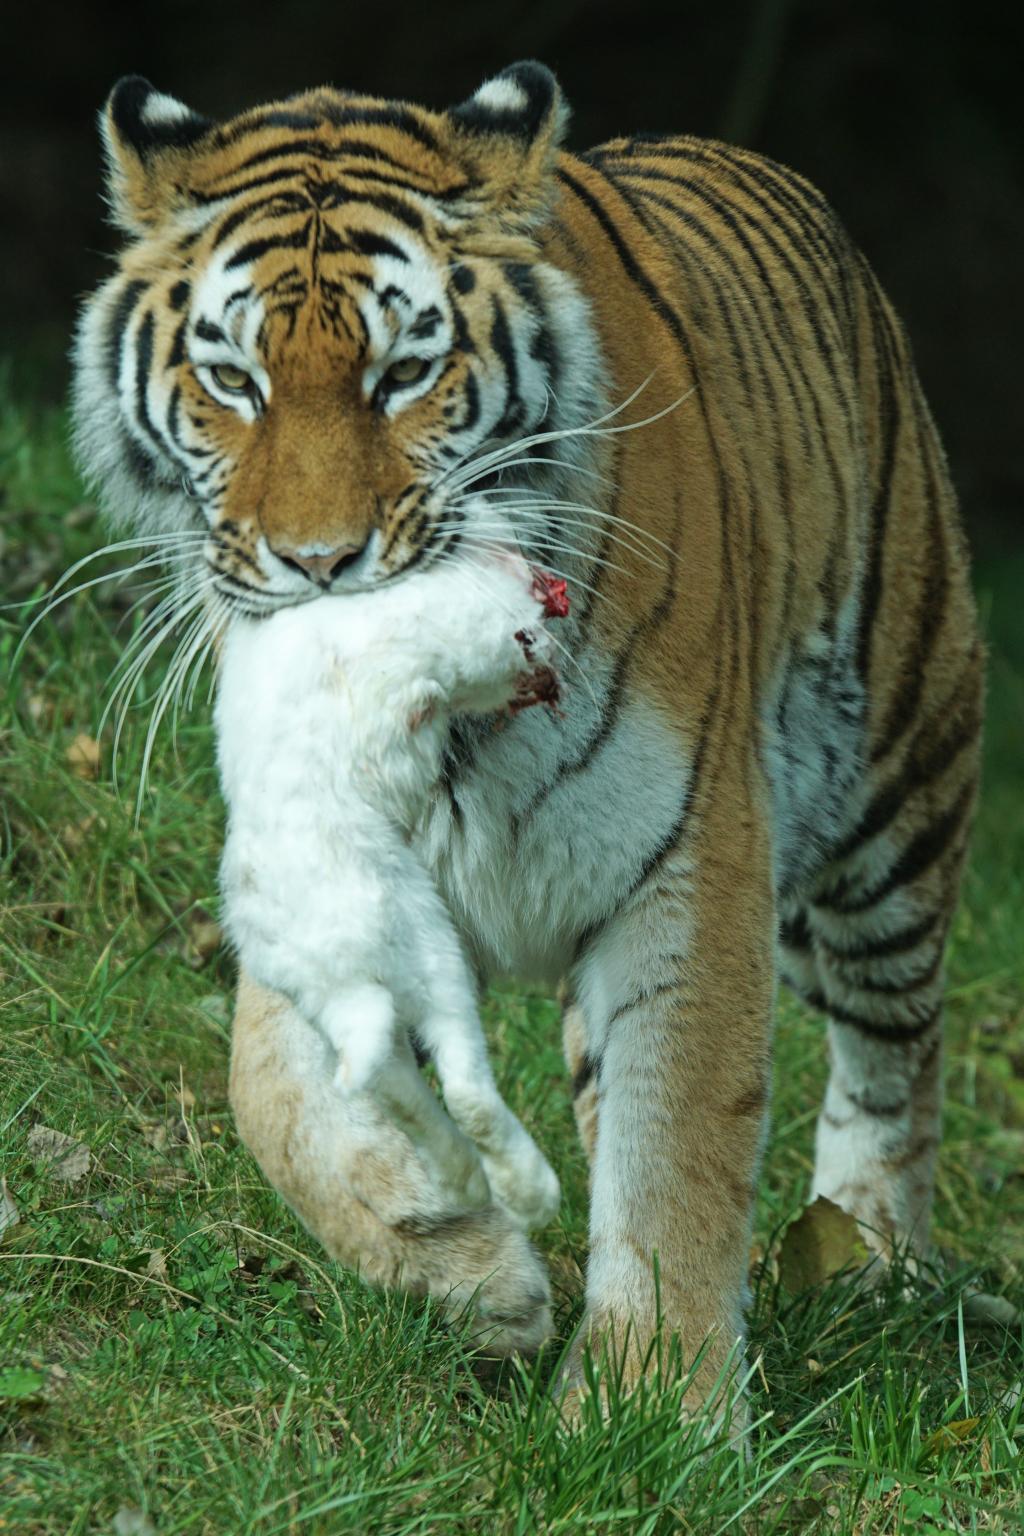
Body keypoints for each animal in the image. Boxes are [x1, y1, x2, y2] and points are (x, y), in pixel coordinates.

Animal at [72, 62, 982, 1413]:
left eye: (403, 372)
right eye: (232, 379)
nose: (319, 564)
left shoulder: (691, 860)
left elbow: (676, 1145)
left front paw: (656, 1411)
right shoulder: (325, 876)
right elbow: (274, 1098)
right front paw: (458, 1265)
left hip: (897, 792)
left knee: (893, 1051)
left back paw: (873, 1257)